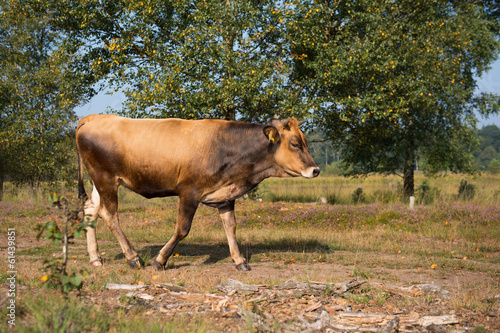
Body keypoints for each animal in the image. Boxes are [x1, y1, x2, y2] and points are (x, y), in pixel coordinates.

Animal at [77, 114, 320, 270]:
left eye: (306, 142)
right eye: (295, 144)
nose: (315, 169)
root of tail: (93, 117)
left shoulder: (226, 194)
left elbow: (230, 227)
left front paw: (240, 260)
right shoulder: (189, 191)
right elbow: (182, 229)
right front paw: (160, 260)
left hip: (100, 181)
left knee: (91, 209)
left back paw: (95, 258)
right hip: (105, 177)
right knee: (109, 214)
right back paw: (132, 257)